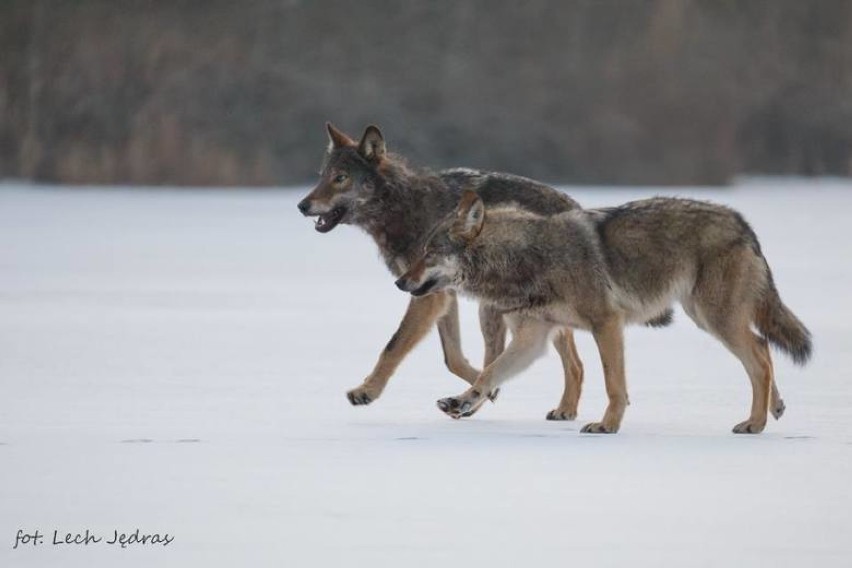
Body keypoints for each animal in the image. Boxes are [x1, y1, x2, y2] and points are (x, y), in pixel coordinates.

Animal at [300, 123, 592, 418]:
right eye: (322, 177)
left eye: (341, 178)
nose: (302, 205)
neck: (402, 208)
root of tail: (576, 206)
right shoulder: (440, 294)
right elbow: (452, 358)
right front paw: (485, 392)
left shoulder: (428, 296)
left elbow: (393, 346)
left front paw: (366, 391)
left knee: (574, 364)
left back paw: (563, 410)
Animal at [394, 189, 812, 432]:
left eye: (429, 253)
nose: (399, 282)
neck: (525, 258)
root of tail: (742, 222)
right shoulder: (533, 338)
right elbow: (490, 373)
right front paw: (461, 402)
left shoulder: (606, 323)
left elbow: (614, 385)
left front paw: (607, 426)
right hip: (706, 317)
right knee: (762, 351)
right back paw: (770, 410)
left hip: (715, 319)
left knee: (759, 356)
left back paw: (754, 423)